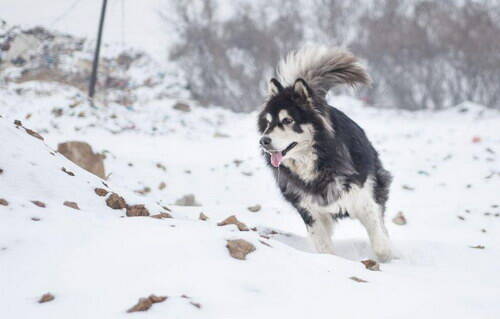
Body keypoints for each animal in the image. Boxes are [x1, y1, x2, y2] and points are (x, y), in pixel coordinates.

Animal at [258, 46, 394, 264]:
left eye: (287, 120)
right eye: (268, 123)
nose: (263, 141)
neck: (319, 160)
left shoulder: (363, 198)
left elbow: (379, 239)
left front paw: (388, 256)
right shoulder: (309, 210)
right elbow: (323, 246)